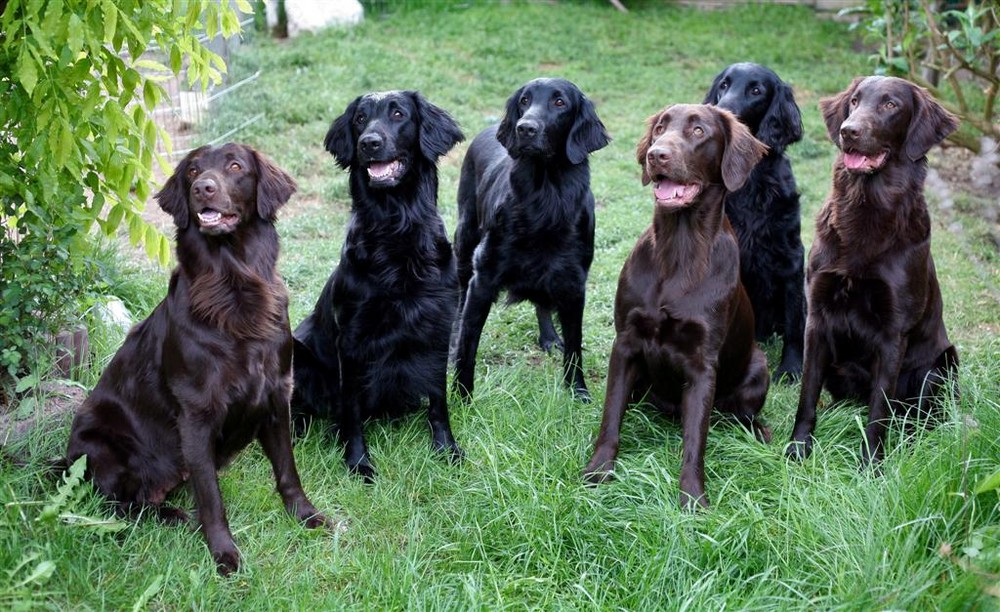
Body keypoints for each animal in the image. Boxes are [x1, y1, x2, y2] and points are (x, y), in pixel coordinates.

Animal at [67, 143, 332, 572]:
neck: (233, 289)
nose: (203, 188)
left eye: (236, 166)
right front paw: (224, 554)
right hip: (99, 446)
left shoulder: (277, 395)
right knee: (121, 505)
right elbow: (210, 497)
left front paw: (306, 516)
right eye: (192, 171)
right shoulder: (195, 415)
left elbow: (288, 471)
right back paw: (175, 516)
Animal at [292, 89, 466, 478]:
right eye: (360, 119)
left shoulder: (438, 328)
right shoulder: (352, 339)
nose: (368, 143)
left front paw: (446, 448)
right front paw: (358, 462)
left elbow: (438, 400)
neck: (396, 230)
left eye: (398, 114)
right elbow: (352, 409)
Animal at [454, 76, 608, 402]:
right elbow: (467, 345)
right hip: (465, 238)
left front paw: (578, 391)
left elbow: (575, 346)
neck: (545, 197)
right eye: (524, 100)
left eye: (560, 102)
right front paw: (461, 395)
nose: (525, 128)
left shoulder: (574, 283)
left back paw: (549, 337)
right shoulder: (482, 279)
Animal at [584, 105, 772, 506]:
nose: (657, 155)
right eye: (659, 128)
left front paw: (693, 497)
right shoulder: (625, 344)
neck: (679, 249)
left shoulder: (703, 364)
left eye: (699, 131)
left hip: (759, 367)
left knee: (742, 415)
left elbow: (695, 439)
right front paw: (598, 471)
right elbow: (611, 416)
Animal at [704, 62, 804, 378]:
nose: (721, 112)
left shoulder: (792, 258)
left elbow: (796, 324)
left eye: (756, 90)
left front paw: (792, 367)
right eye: (723, 85)